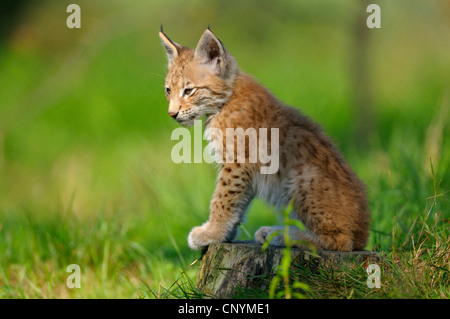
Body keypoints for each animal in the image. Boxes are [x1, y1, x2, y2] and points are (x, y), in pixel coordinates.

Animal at [160, 27, 370, 252]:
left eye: (189, 90)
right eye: (168, 91)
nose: (172, 114)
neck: (225, 100)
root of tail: (364, 234)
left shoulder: (237, 163)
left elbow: (222, 199)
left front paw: (211, 232)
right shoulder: (244, 169)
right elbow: (238, 203)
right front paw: (224, 235)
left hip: (298, 178)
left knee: (340, 241)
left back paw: (281, 235)